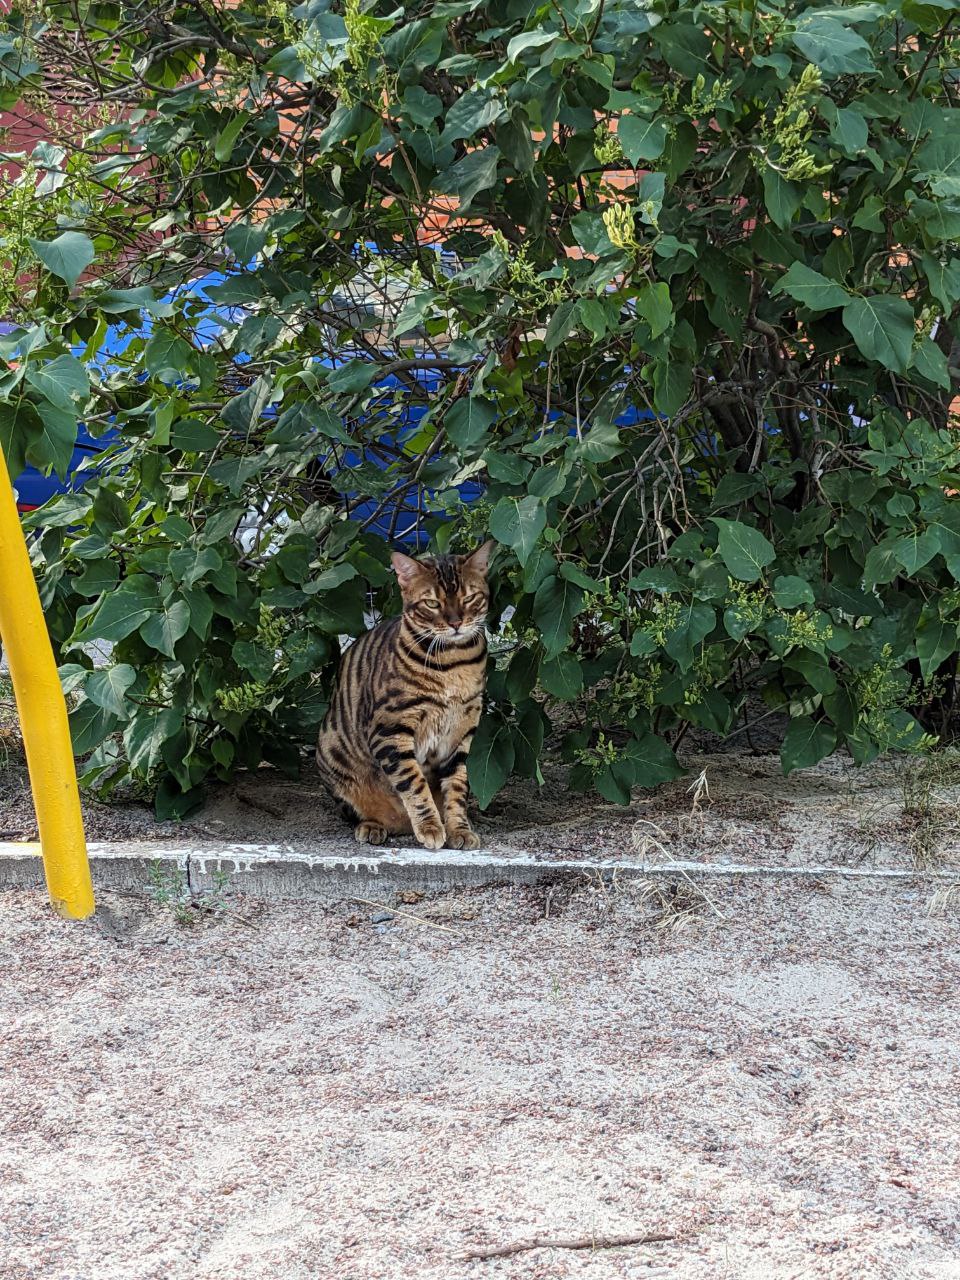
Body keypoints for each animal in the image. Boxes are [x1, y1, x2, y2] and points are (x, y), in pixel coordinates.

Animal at [317, 540, 496, 849]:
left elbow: (456, 787)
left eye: (469, 598)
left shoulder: (461, 731)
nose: (456, 623)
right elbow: (413, 782)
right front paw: (430, 826)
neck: (454, 662)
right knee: (361, 811)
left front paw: (458, 829)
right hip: (331, 751)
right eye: (432, 603)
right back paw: (373, 826)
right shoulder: (390, 729)